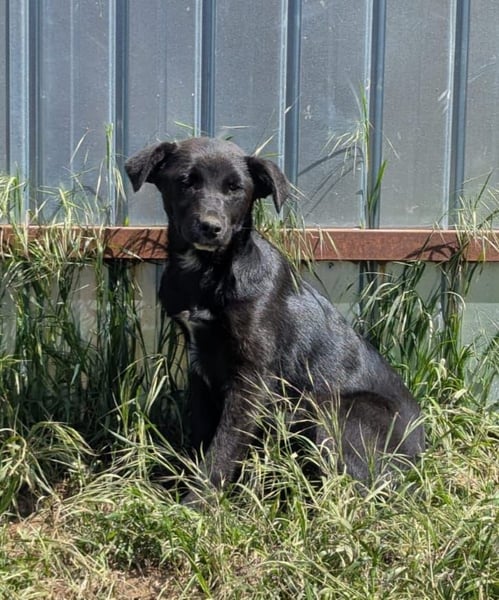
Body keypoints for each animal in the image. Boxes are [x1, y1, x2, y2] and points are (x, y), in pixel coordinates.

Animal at [125, 137, 424, 503]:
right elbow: (203, 435)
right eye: (185, 182)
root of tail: (422, 456)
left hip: (333, 411)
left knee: (358, 489)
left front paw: (198, 502)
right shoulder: (200, 366)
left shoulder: (253, 376)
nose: (211, 228)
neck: (208, 273)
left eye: (235, 188)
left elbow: (224, 445)